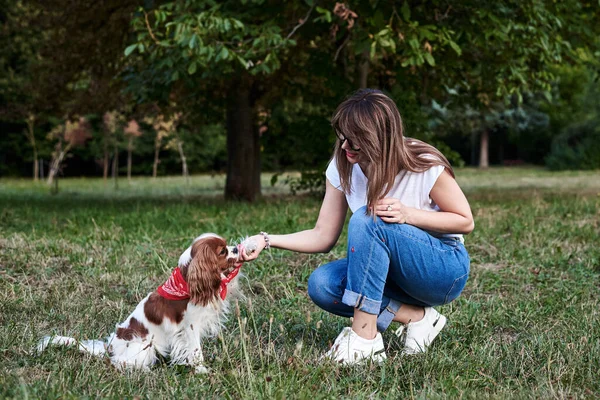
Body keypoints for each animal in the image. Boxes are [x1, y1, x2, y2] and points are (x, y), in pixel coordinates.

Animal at [37, 233, 253, 374]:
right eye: (222, 251)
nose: (236, 248)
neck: (186, 281)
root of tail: (110, 346)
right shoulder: (190, 326)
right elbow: (195, 349)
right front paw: (200, 369)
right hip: (145, 347)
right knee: (118, 363)